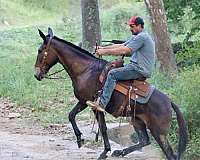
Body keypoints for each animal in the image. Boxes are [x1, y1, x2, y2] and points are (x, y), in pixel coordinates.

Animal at [33, 28, 188, 159]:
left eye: (40, 50)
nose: (36, 74)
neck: (85, 70)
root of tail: (169, 102)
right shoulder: (83, 101)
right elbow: (71, 116)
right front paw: (79, 139)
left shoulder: (96, 106)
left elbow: (103, 128)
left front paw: (104, 152)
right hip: (137, 121)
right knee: (144, 140)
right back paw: (120, 152)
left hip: (158, 132)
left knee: (169, 154)